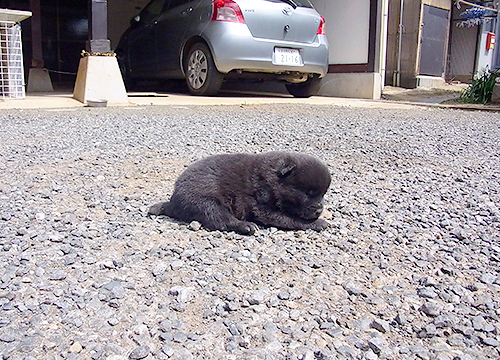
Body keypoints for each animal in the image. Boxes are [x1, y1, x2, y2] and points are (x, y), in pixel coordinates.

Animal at [146, 151, 330, 233]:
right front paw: (318, 223)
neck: (271, 180)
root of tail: (172, 201)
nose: (319, 209)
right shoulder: (263, 208)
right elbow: (290, 219)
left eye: (323, 194)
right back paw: (246, 225)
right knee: (221, 220)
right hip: (205, 202)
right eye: (307, 193)